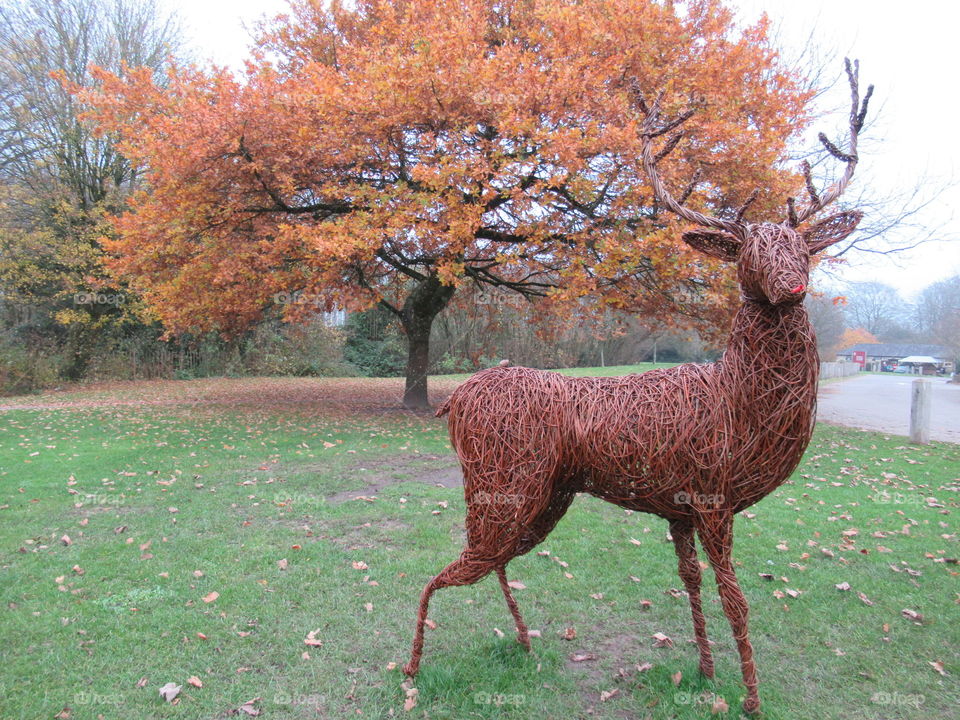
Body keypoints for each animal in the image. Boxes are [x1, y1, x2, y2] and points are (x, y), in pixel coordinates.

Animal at [404, 60, 872, 714]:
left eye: (804, 247)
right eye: (748, 252)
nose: (791, 285)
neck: (740, 401)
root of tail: (457, 400)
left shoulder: (679, 505)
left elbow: (691, 581)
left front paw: (705, 672)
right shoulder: (713, 495)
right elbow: (736, 598)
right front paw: (750, 700)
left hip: (544, 495)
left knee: (487, 561)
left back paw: (520, 641)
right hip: (506, 481)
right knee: (448, 567)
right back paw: (413, 667)